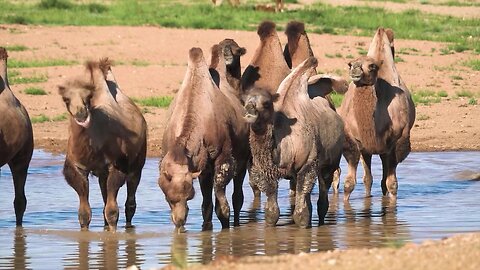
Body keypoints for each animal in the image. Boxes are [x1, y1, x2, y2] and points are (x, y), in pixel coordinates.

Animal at [57, 58, 146, 231]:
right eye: (66, 99)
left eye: (88, 97)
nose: (81, 112)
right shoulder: (78, 168)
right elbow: (84, 213)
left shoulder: (116, 165)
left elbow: (112, 211)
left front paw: (112, 233)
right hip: (102, 173)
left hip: (137, 164)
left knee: (130, 203)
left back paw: (129, 227)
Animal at [160, 47, 248, 231]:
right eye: (168, 198)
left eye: (189, 196)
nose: (179, 221)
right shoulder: (198, 165)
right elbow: (206, 206)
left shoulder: (224, 155)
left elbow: (222, 205)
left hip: (244, 158)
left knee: (238, 194)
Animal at [244, 57, 344, 228]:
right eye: (246, 101)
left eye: (266, 103)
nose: (250, 109)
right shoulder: (264, 170)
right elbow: (272, 210)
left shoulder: (309, 161)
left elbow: (301, 208)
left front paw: (303, 225)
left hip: (329, 162)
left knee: (323, 193)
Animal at [338, 28, 416, 200]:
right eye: (350, 63)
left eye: (372, 66)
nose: (355, 69)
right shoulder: (354, 141)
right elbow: (349, 184)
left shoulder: (398, 140)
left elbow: (392, 184)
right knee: (369, 178)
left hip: (385, 149)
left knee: (384, 178)